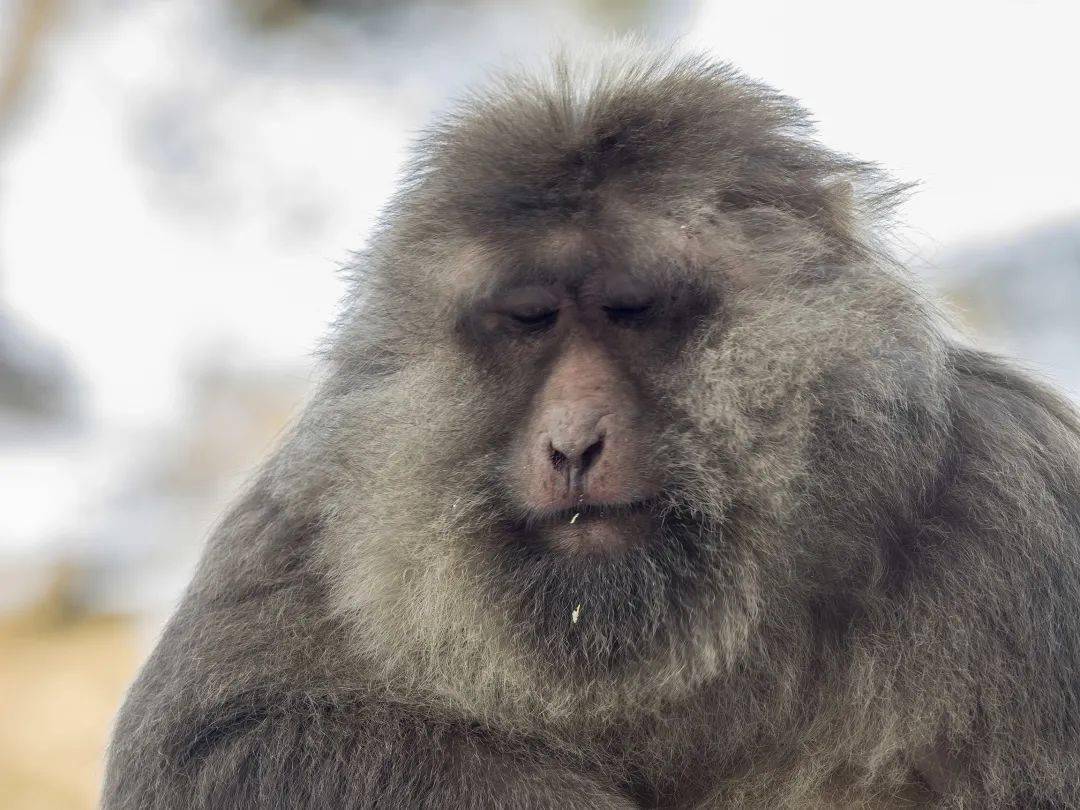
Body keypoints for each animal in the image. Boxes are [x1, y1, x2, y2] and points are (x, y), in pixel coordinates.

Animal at [101, 52, 1080, 810]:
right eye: (531, 321)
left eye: (629, 309)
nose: (572, 442)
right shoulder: (306, 519)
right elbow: (221, 742)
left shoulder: (1016, 509)